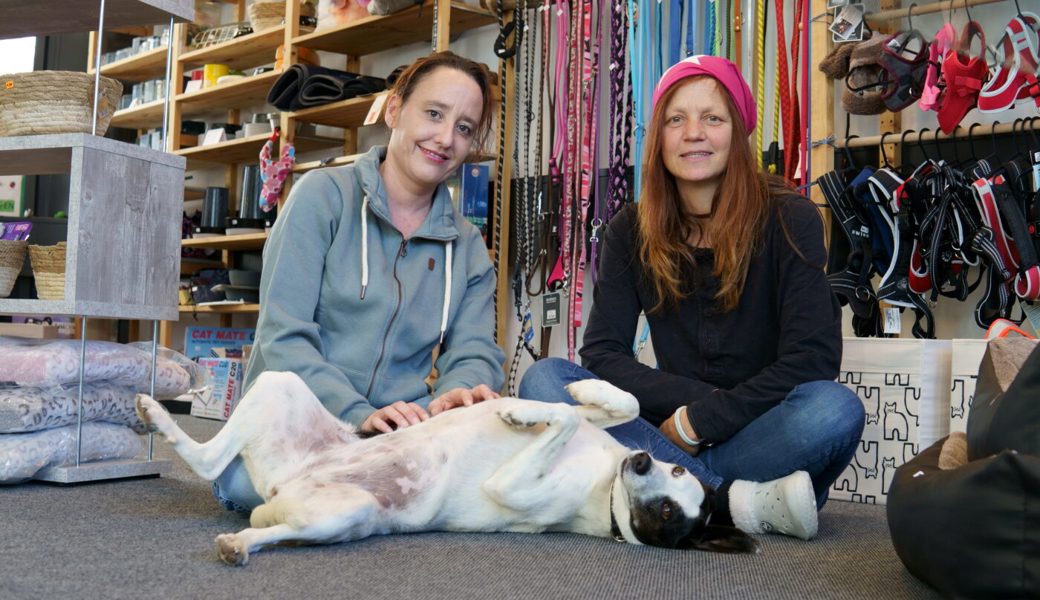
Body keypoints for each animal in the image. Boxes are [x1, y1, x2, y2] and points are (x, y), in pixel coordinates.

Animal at [136, 370, 757, 561]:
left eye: (669, 513)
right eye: (678, 474)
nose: (644, 459)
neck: (609, 490)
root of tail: (286, 487)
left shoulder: (514, 486)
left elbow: (556, 417)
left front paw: (516, 409)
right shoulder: (599, 429)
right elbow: (614, 403)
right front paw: (575, 390)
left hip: (345, 516)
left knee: (231, 489)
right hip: (279, 385)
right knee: (217, 462)